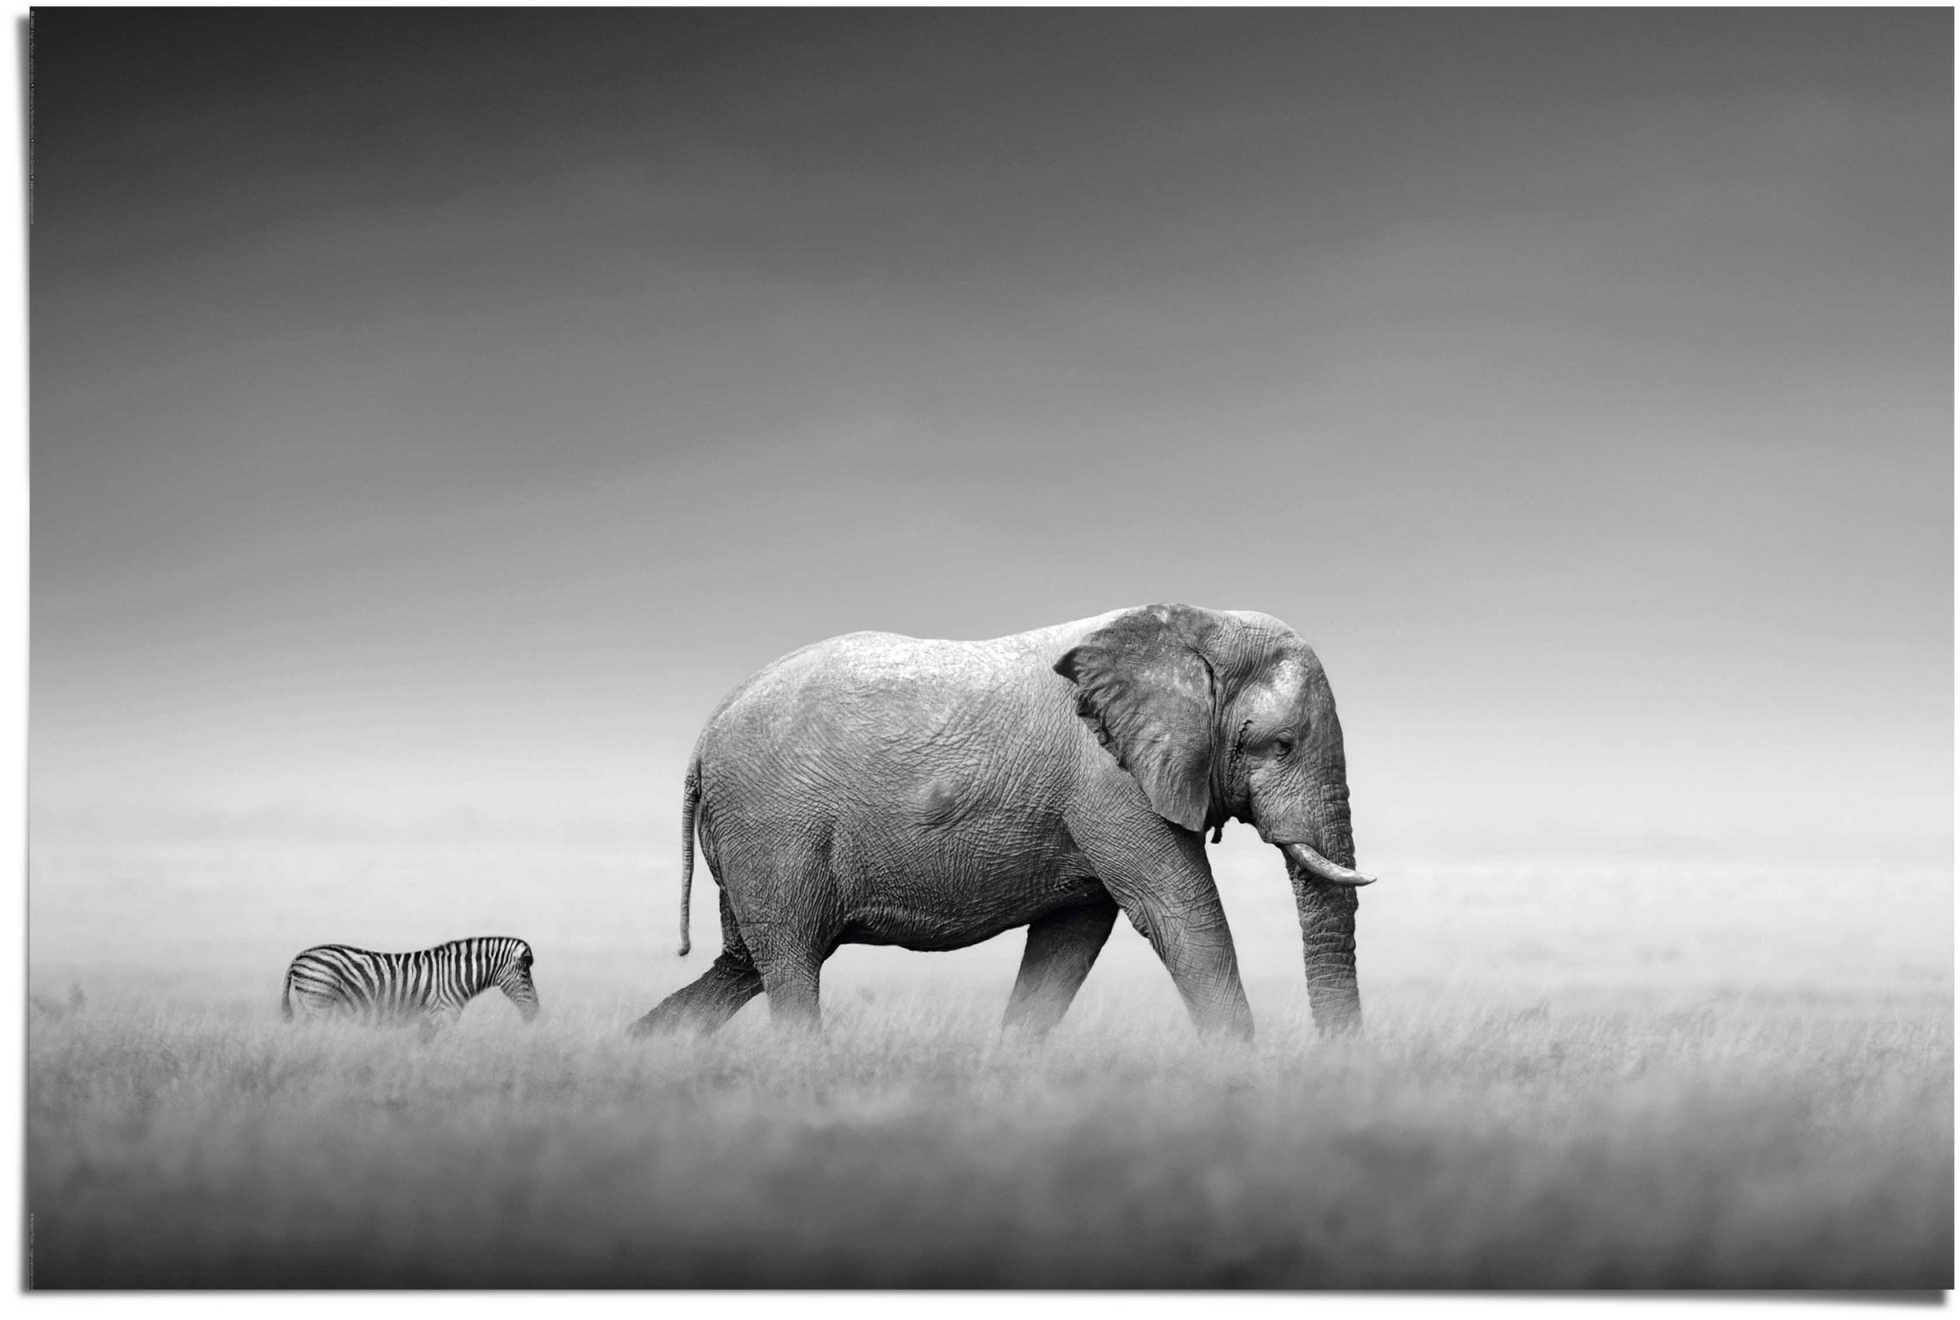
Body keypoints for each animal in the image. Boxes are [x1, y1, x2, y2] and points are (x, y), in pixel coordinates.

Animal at [630, 603, 1376, 1041]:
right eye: (1279, 745)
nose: (1333, 1071)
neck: (1198, 625)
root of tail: (704, 737)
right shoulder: (1110, 783)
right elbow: (1182, 918)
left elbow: (1068, 944)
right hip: (772, 826)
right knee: (787, 962)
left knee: (742, 964)